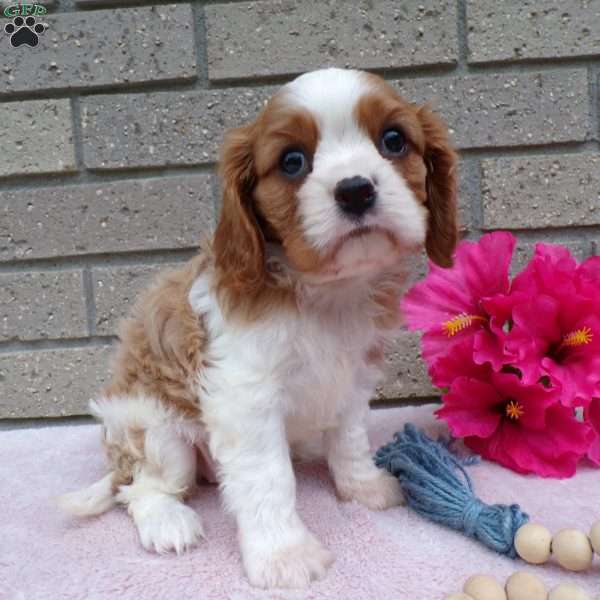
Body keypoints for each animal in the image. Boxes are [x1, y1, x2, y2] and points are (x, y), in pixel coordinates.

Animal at [59, 68, 454, 588]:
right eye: (292, 161)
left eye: (393, 140)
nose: (355, 189)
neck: (326, 293)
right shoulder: (245, 399)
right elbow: (269, 478)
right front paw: (284, 555)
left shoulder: (353, 378)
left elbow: (349, 440)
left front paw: (363, 487)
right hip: (155, 430)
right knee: (142, 488)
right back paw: (168, 522)